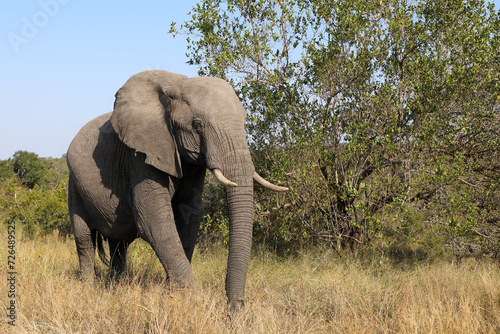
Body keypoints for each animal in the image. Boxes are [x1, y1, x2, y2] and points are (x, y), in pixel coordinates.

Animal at [65, 70, 290, 310]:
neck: (177, 85)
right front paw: (184, 299)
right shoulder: (140, 156)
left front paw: (172, 294)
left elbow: (189, 218)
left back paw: (115, 288)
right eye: (198, 124)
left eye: (245, 121)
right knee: (84, 238)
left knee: (119, 243)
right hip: (74, 185)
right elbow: (154, 221)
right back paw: (88, 289)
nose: (236, 308)